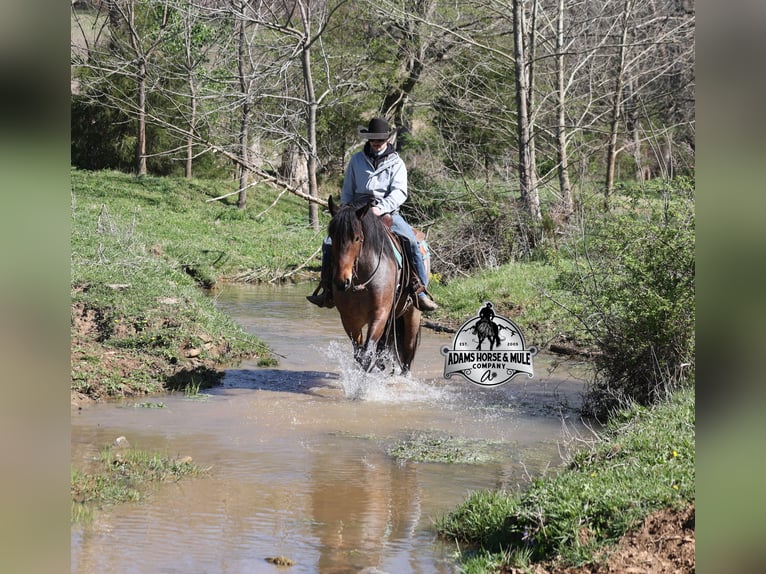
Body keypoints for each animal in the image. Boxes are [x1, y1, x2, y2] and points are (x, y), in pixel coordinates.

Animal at [327, 196, 421, 373]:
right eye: (332, 235)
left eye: (357, 238)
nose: (342, 281)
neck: (362, 284)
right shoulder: (350, 320)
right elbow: (359, 355)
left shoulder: (379, 315)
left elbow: (366, 355)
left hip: (412, 314)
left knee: (407, 354)